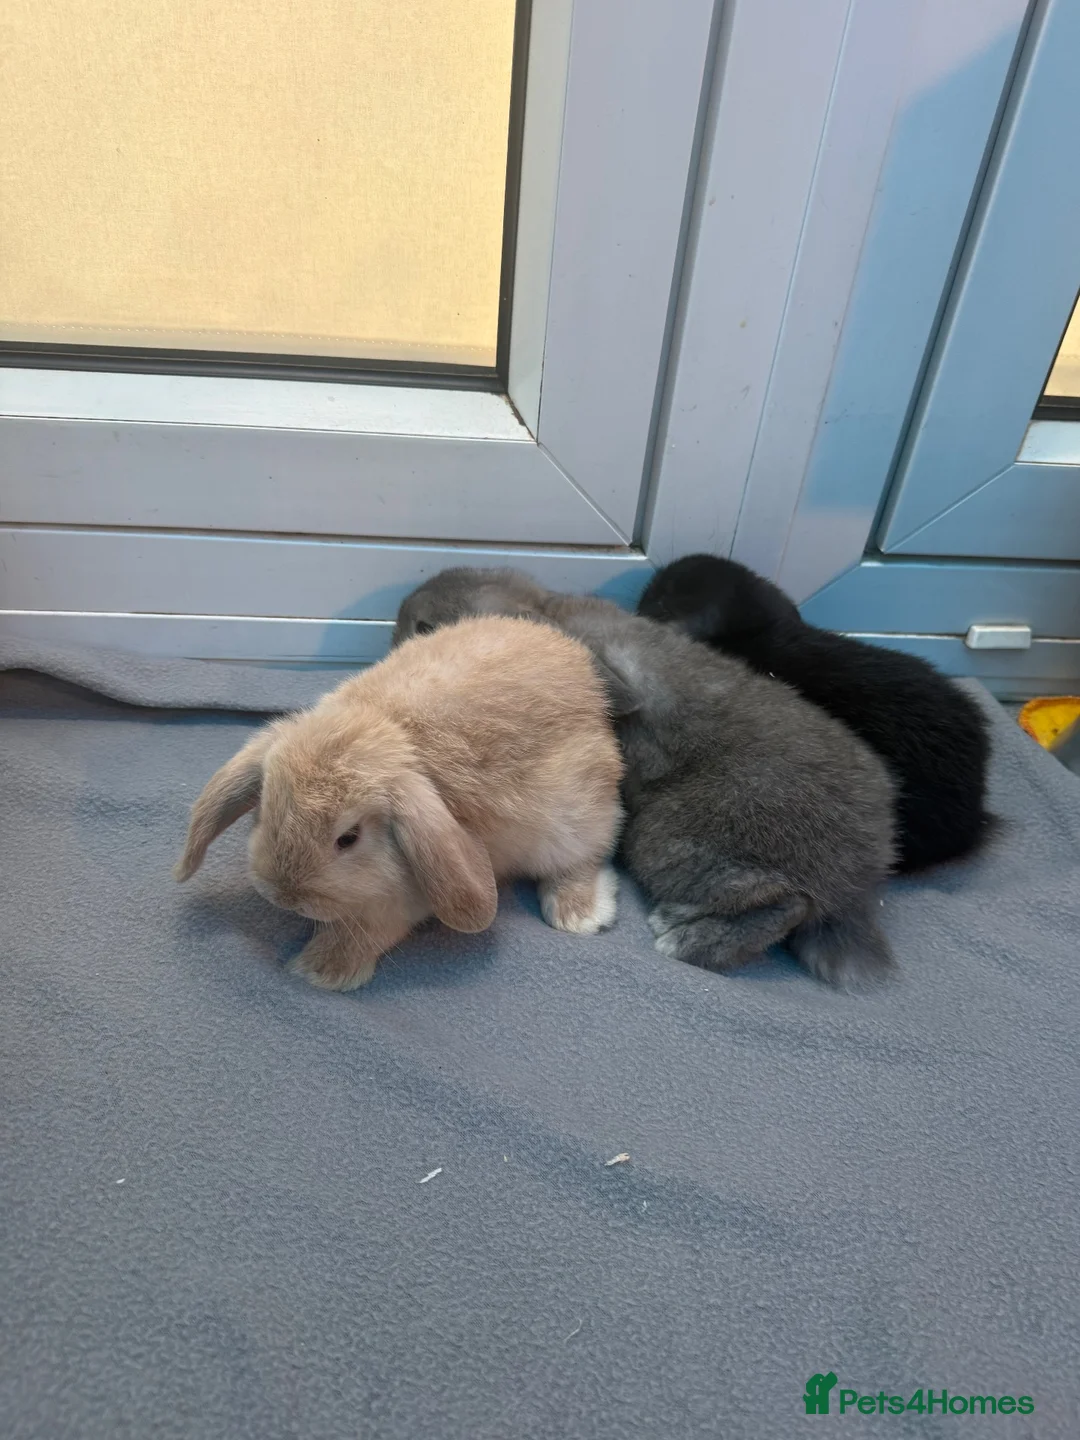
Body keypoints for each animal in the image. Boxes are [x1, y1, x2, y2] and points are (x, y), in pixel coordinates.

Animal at [175, 615, 623, 990]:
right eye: (265, 811)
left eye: (349, 838)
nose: (284, 896)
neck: (383, 727)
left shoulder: (403, 896)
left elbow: (369, 931)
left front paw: (320, 970)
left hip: (572, 819)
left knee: (585, 858)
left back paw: (578, 914)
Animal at [394, 569, 897, 986]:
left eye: (425, 628)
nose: (395, 632)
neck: (549, 610)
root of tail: (856, 883)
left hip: (666, 837)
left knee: (786, 904)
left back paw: (681, 938)